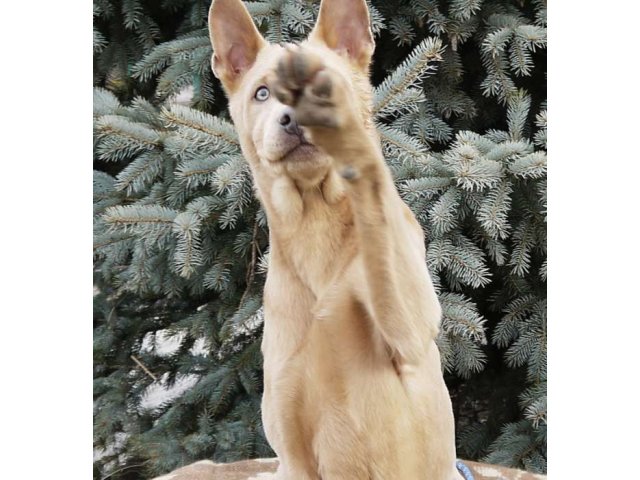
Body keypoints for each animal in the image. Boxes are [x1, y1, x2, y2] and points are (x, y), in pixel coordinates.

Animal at [208, 0, 462, 480]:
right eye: (262, 94)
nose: (293, 118)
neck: (314, 221)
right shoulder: (292, 452)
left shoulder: (410, 332)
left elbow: (378, 209)